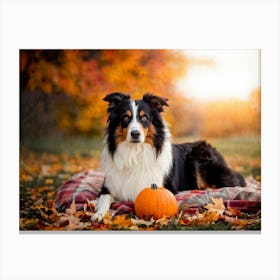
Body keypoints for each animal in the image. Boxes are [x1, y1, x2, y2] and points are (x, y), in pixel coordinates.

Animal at [92, 92, 245, 221]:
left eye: (144, 118)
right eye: (125, 117)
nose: (135, 134)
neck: (135, 152)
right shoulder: (107, 188)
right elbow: (104, 201)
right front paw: (98, 214)